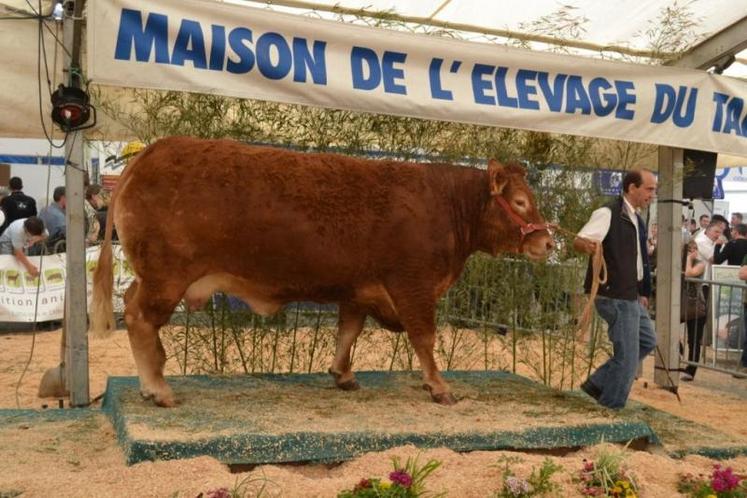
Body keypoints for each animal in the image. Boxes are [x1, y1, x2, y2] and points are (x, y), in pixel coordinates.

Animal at [90, 135, 552, 404]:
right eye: (521, 202)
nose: (547, 242)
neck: (445, 206)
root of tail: (153, 151)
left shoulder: (359, 290)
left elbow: (349, 331)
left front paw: (342, 376)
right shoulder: (413, 286)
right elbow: (424, 338)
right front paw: (439, 387)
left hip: (156, 276)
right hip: (166, 276)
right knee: (139, 317)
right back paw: (158, 388)